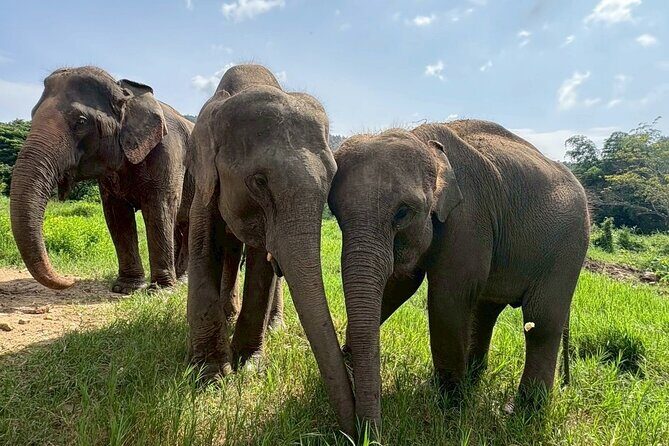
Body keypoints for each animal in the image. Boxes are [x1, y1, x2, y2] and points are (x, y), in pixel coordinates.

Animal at [10, 66, 194, 294]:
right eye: (33, 114)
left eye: (80, 122)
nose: (71, 281)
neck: (126, 93)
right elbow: (117, 214)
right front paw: (126, 288)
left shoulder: (168, 153)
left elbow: (160, 208)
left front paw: (160, 291)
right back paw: (180, 278)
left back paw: (181, 281)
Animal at [186, 64, 355, 435]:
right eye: (259, 182)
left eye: (332, 181)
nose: (356, 434)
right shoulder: (204, 183)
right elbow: (203, 250)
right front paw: (211, 378)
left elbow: (262, 270)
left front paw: (247, 365)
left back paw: (272, 325)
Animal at [328, 120, 590, 428]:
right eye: (335, 212)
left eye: (402, 213)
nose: (365, 431)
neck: (425, 142)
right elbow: (399, 284)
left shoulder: (469, 217)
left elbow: (448, 298)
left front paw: (451, 406)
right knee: (486, 310)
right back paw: (474, 379)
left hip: (569, 248)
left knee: (542, 321)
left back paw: (522, 412)